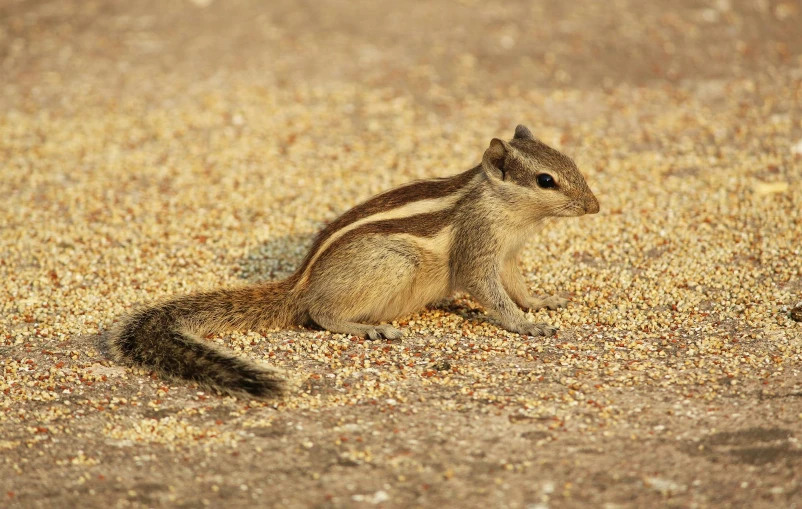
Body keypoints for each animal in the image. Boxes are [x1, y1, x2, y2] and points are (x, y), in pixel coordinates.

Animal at [103, 125, 596, 398]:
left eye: (572, 161)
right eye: (546, 180)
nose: (594, 206)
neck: (507, 209)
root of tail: (299, 283)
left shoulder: (508, 255)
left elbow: (518, 286)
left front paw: (542, 302)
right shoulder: (478, 250)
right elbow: (490, 292)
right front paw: (525, 325)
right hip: (392, 264)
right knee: (320, 314)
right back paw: (367, 327)